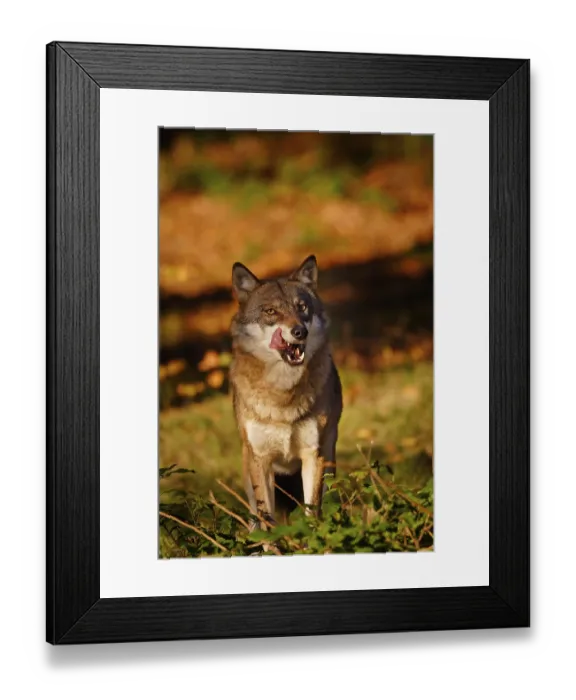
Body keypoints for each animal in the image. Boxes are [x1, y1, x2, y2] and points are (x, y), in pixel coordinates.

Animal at [229, 255, 342, 527]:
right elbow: (267, 522)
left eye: (302, 307)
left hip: (329, 462)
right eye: (271, 311)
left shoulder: (313, 455)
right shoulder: (260, 460)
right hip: (248, 470)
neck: (283, 395)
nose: (300, 331)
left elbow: (312, 513)